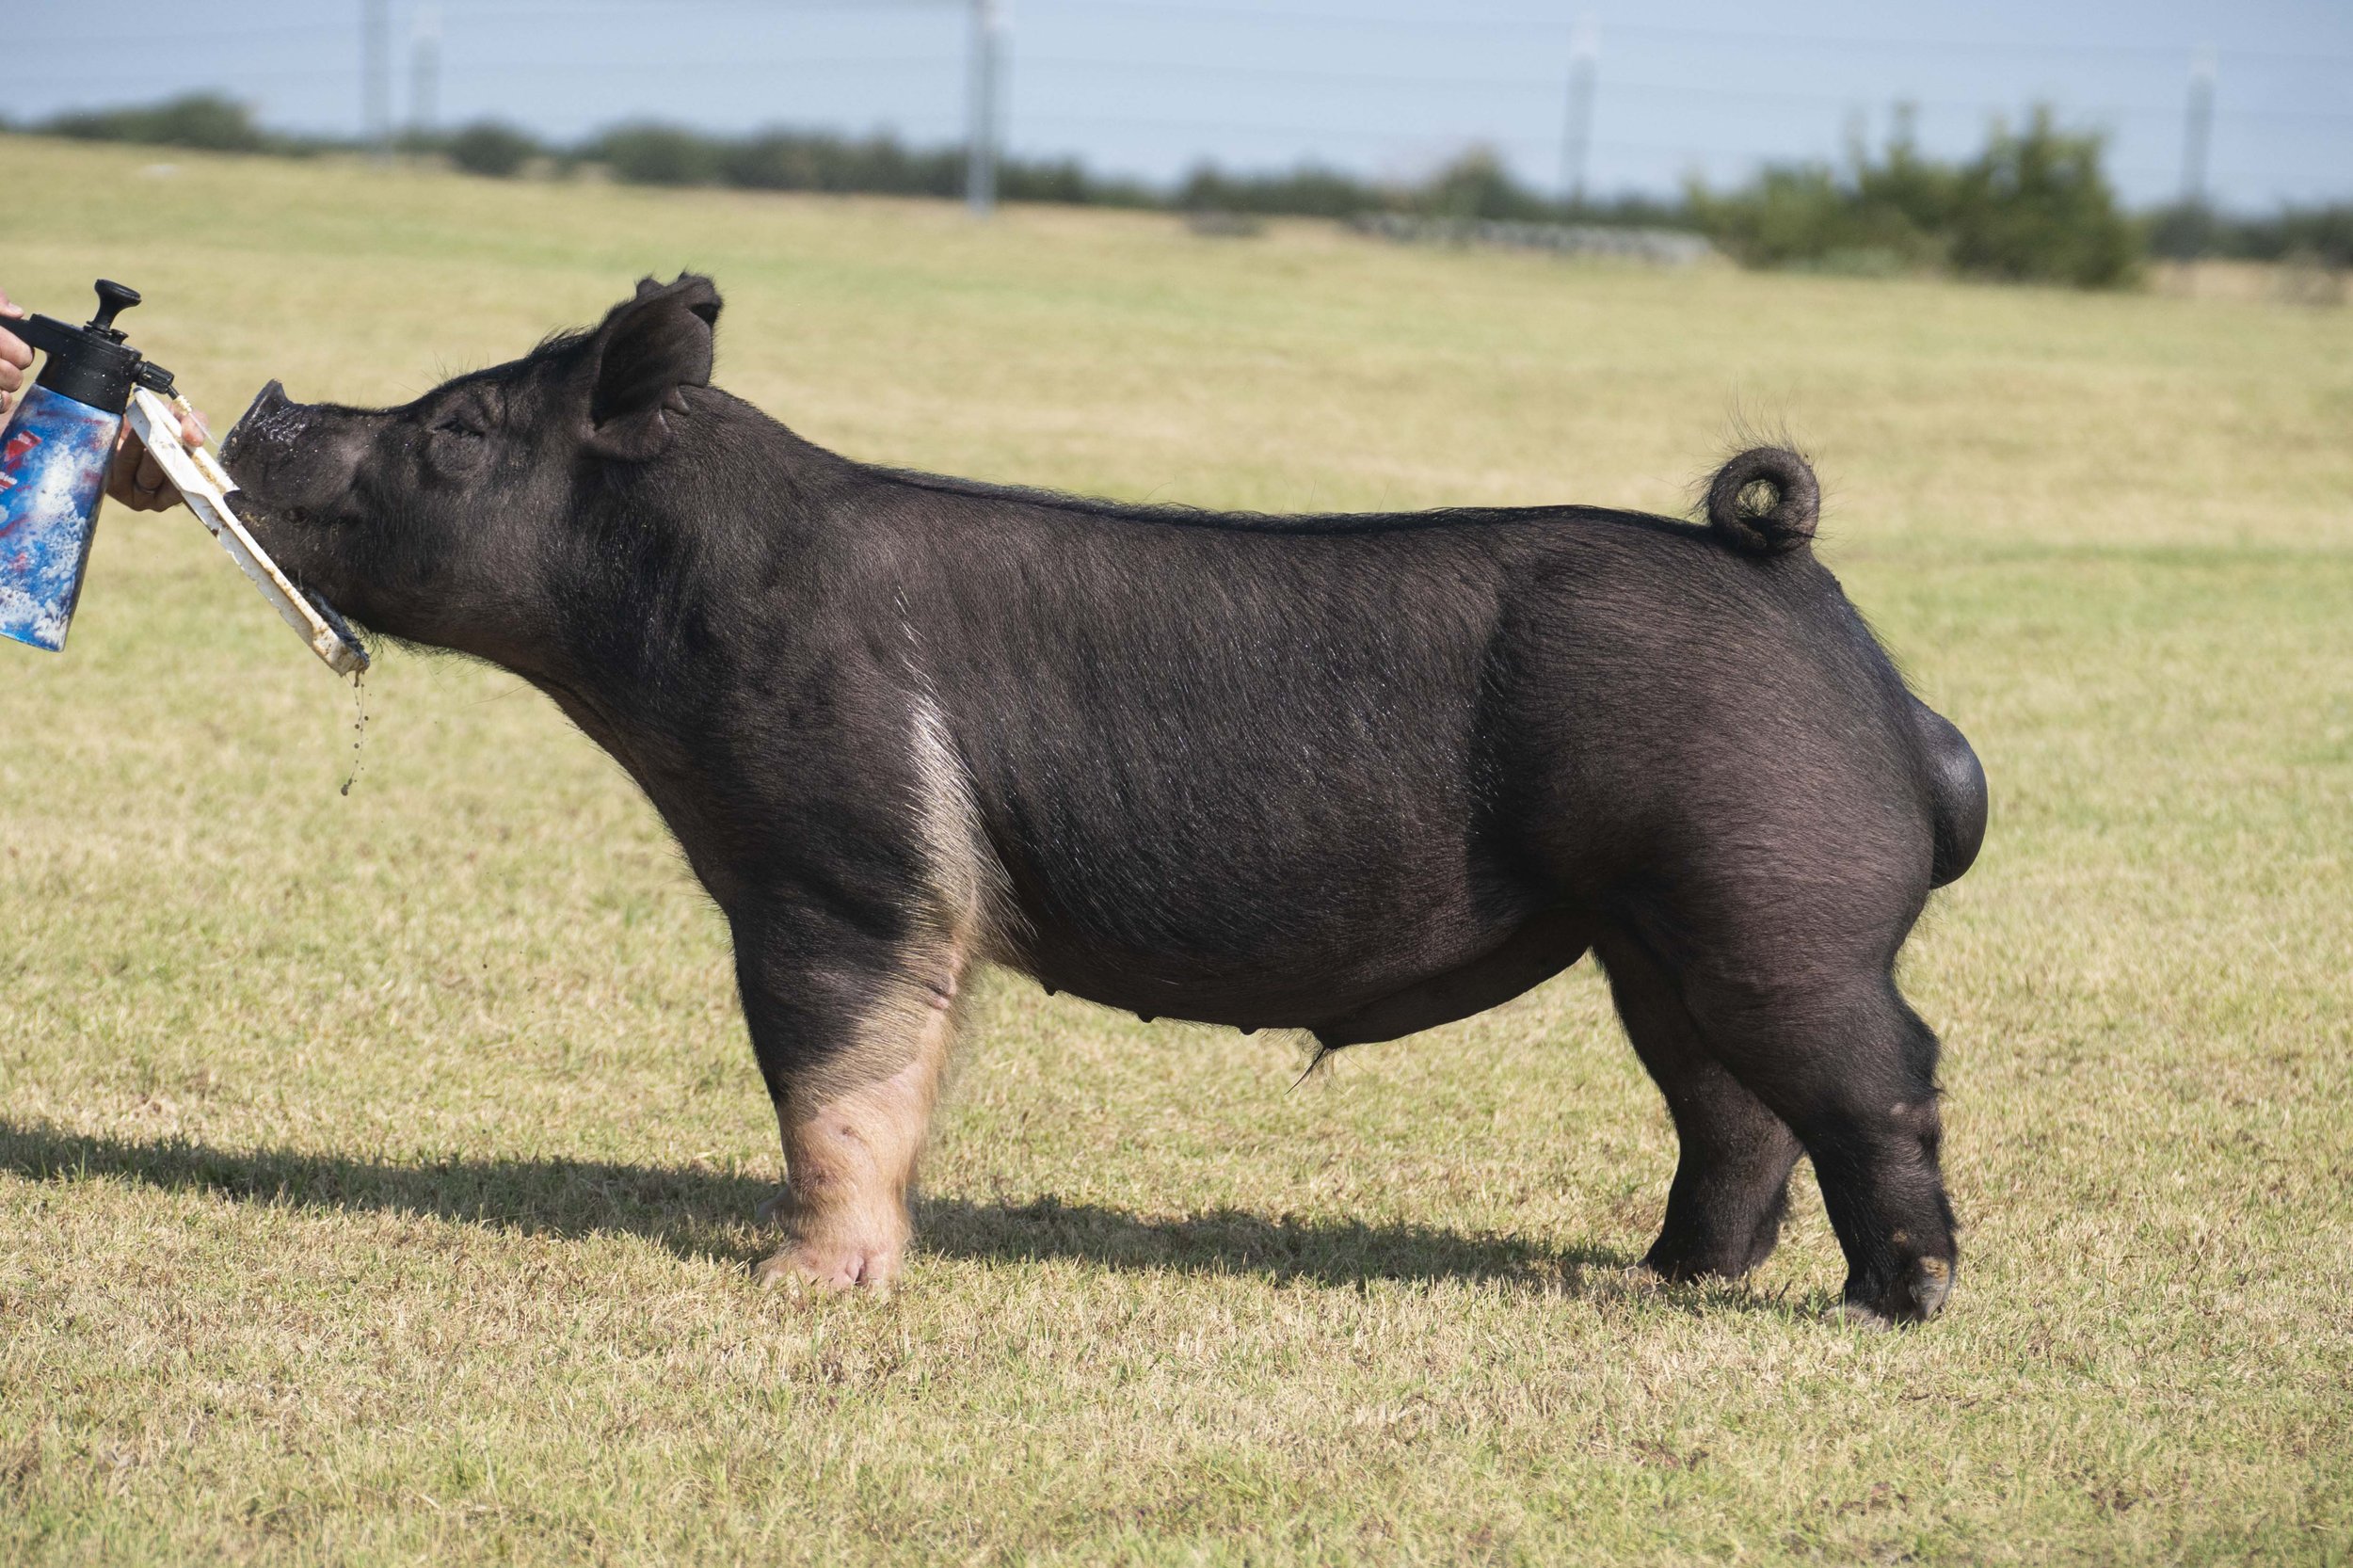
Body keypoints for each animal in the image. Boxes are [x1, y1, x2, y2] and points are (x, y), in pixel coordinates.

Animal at [221, 275, 1987, 1323]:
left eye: (459, 428)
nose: (264, 400)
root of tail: (1819, 609)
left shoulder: (842, 866)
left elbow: (836, 1080)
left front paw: (799, 1285)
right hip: (1656, 930)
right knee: (1731, 1106)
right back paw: (1667, 1280)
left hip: (1777, 898)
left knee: (1883, 1076)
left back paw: (1897, 1301)